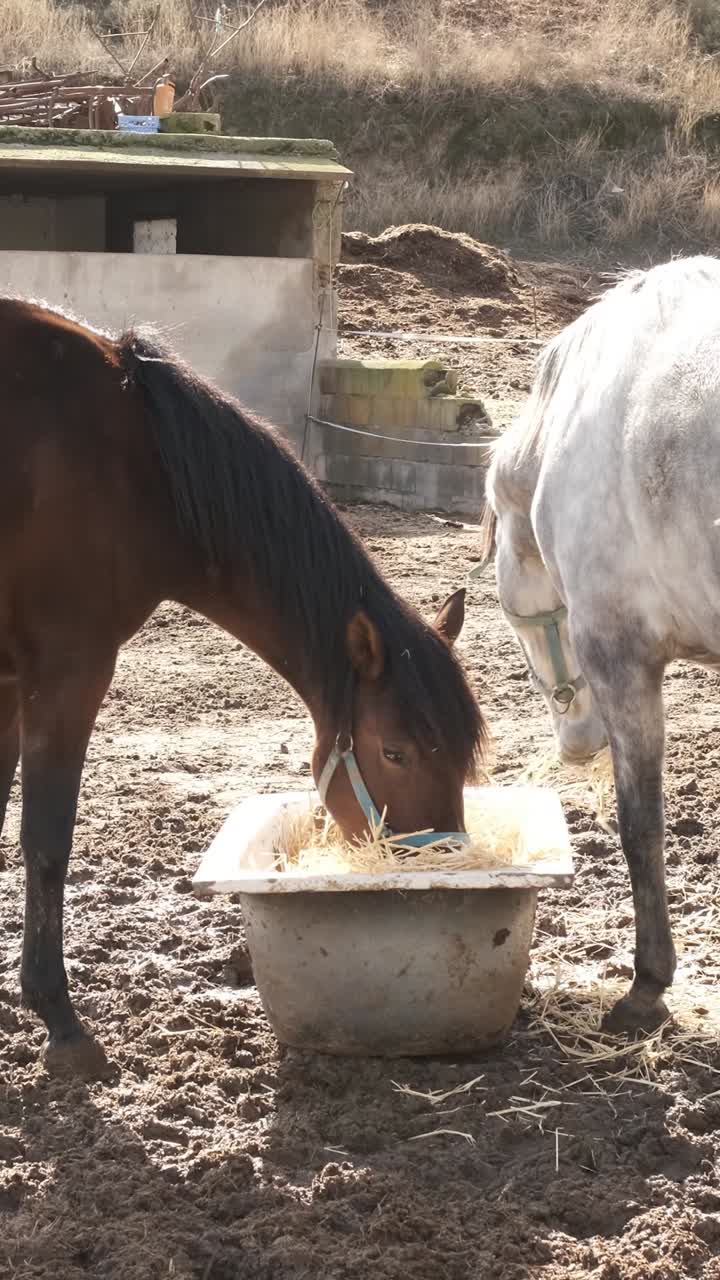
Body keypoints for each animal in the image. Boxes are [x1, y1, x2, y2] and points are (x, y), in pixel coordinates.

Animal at [0, 296, 486, 1077]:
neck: (137, 463)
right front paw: (60, 1022)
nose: (443, 868)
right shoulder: (68, 670)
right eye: (396, 753)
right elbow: (47, 839)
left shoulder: (11, 680)